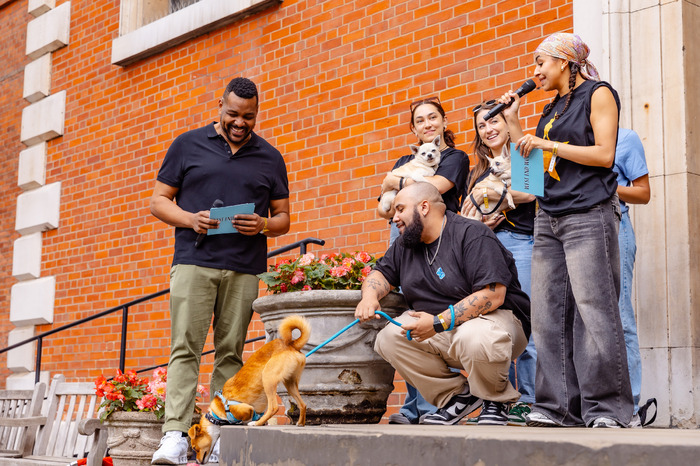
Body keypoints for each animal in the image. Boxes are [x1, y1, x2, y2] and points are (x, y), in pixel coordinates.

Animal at [190, 314, 314, 464]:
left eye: (195, 448)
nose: (197, 462)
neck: (217, 412)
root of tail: (291, 344)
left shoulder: (244, 408)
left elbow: (248, 414)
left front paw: (250, 421)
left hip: (268, 378)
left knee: (273, 407)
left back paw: (256, 423)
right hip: (290, 383)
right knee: (302, 404)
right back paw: (300, 423)